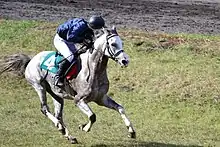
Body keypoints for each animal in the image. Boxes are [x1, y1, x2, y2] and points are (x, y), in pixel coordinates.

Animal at [0, 26, 136, 144]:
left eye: (121, 43)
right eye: (113, 44)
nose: (125, 61)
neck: (94, 70)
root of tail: (31, 59)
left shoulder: (101, 98)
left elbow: (120, 108)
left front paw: (131, 132)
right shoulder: (79, 100)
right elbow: (92, 116)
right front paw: (84, 127)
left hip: (57, 95)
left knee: (58, 115)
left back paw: (68, 135)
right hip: (39, 86)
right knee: (44, 109)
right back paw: (61, 128)